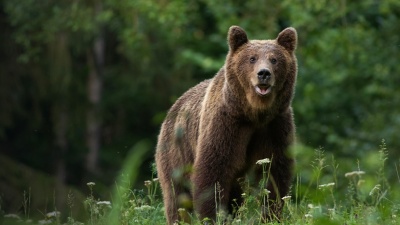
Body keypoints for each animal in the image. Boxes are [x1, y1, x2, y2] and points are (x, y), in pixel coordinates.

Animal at [155, 25, 296, 223]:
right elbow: (213, 172)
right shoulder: (226, 125)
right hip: (176, 152)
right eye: (252, 58)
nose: (264, 73)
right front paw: (212, 216)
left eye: (274, 59)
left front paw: (271, 215)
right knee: (177, 195)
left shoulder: (275, 125)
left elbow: (275, 173)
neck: (254, 113)